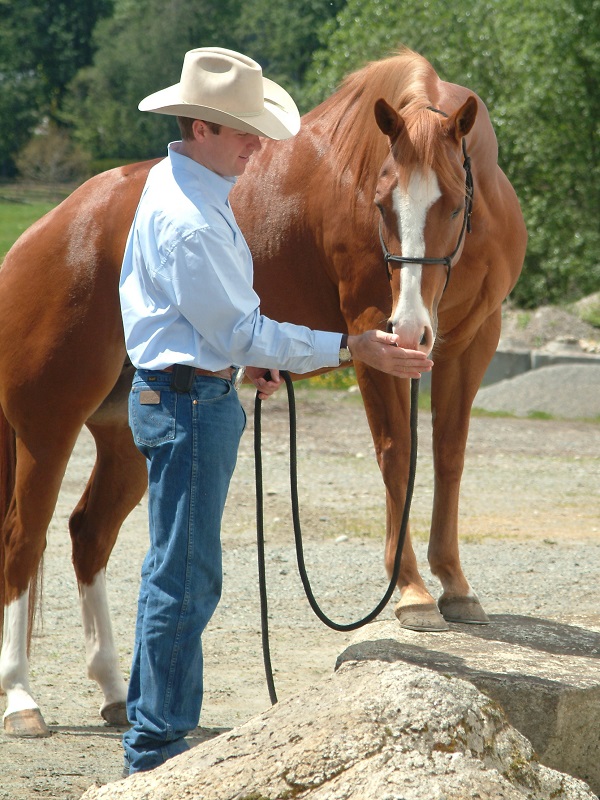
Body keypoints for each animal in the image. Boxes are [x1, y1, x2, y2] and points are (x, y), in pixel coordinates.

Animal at [0, 47, 526, 737]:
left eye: (455, 200)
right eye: (381, 201)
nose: (410, 327)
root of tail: (43, 234)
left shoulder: (473, 342)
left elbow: (449, 457)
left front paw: (457, 587)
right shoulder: (370, 333)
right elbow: (398, 457)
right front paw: (411, 592)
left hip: (123, 436)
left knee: (88, 534)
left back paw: (116, 693)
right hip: (47, 423)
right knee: (22, 540)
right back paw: (21, 699)